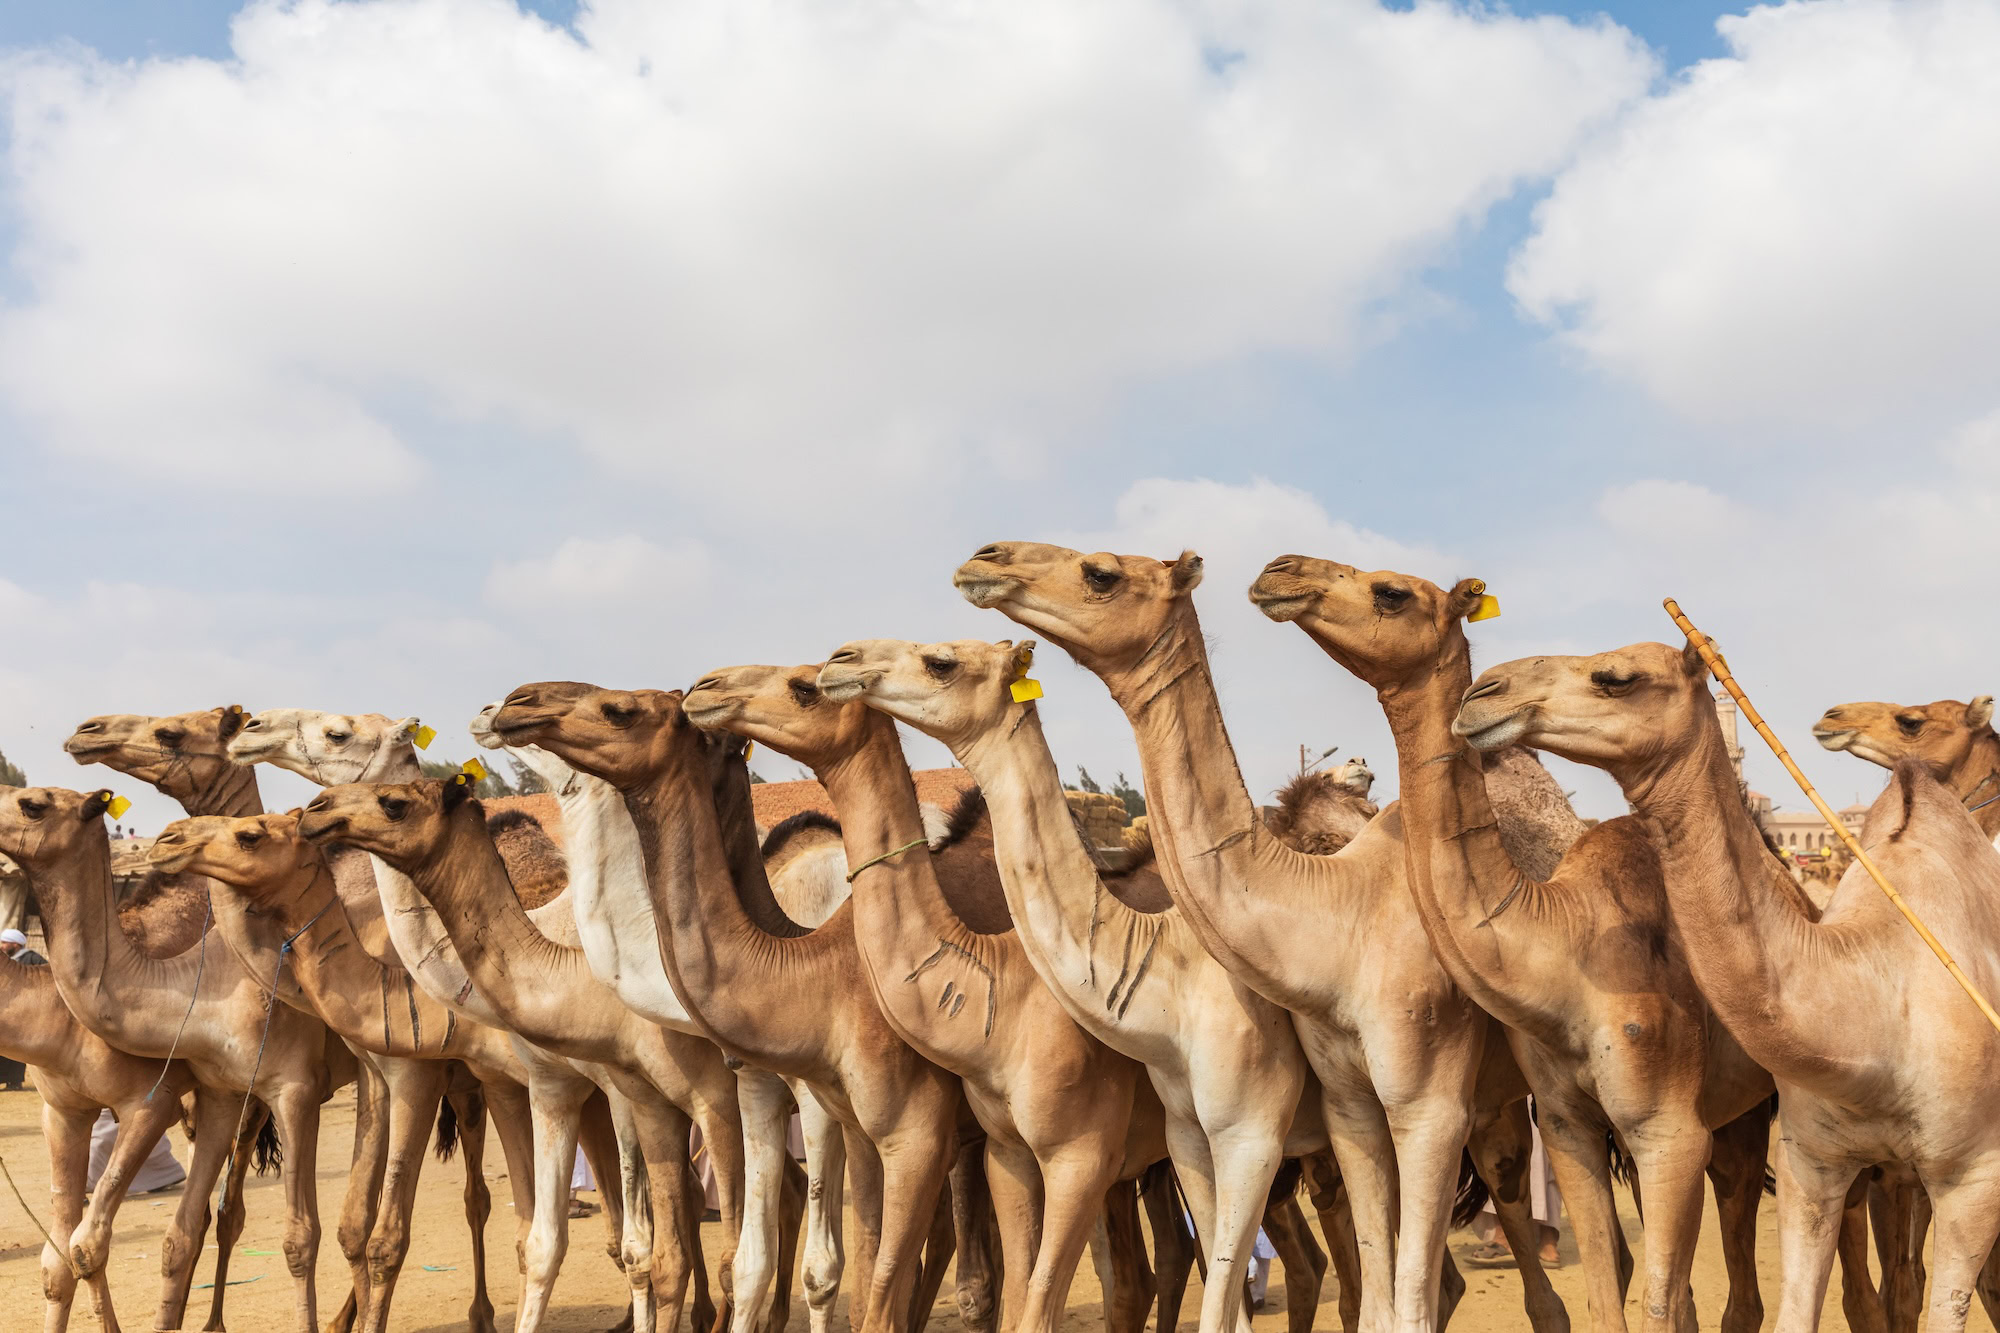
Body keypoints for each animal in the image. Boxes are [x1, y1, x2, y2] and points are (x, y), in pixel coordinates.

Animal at [0, 785, 348, 1333]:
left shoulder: (151, 1100)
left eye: (32, 804)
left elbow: (87, 1244)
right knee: (214, 1211)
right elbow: (58, 1259)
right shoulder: (61, 1111)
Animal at [65, 706, 538, 1333]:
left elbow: (350, 1222)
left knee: (476, 1193)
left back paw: (479, 1312)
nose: (87, 732)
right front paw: (208, 1321)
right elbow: (224, 1214)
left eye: (170, 732)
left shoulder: (334, 1079)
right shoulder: (229, 1093)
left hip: (464, 1081)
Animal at [489, 682, 987, 1333]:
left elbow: (816, 1264)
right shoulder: (743, 1085)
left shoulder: (805, 1098)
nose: (510, 705)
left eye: (620, 710)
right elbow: (739, 1256)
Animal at [1245, 555, 1803, 1333]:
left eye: (1390, 591)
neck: (1567, 940)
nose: (1279, 569)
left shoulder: (1669, 1125)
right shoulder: (1568, 1122)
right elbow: (1609, 1291)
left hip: (1750, 1113)